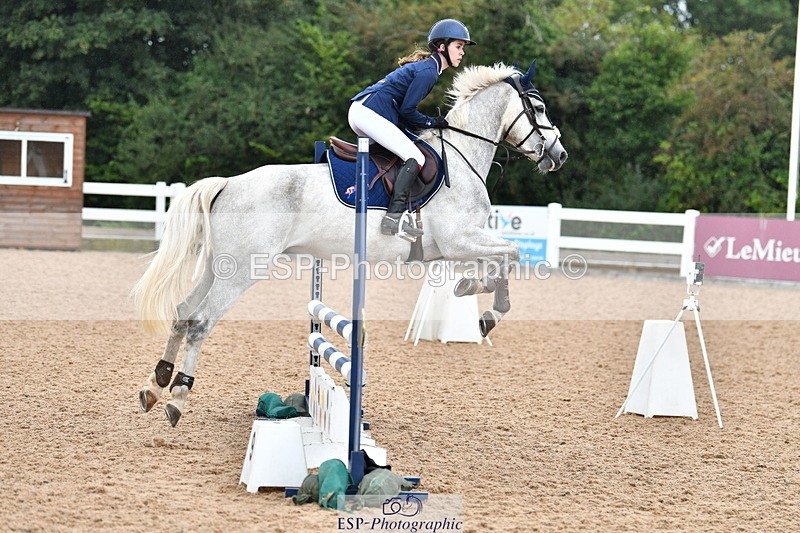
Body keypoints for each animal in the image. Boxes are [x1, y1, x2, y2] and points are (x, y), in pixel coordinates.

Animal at [133, 60, 568, 426]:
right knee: (200, 322)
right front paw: (486, 311)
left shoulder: (452, 247)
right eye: (539, 107)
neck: (461, 158)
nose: (560, 156)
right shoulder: (460, 240)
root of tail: (228, 183)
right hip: (241, 271)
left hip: (217, 265)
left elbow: (503, 258)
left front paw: (470, 290)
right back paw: (178, 398)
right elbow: (510, 254)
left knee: (183, 312)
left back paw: (156, 386)